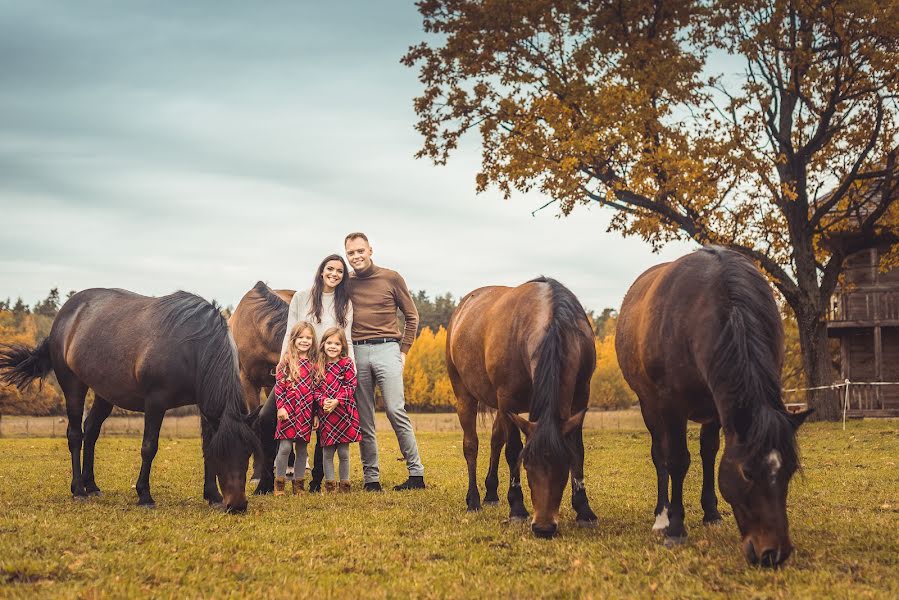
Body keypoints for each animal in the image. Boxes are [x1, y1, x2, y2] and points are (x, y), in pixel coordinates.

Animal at [0, 290, 260, 510]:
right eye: (223, 453)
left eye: (248, 452)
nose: (237, 505)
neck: (192, 347)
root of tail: (64, 316)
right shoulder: (155, 402)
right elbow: (149, 447)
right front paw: (144, 495)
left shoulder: (203, 405)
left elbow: (205, 446)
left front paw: (212, 495)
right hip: (73, 386)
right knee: (75, 435)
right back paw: (79, 490)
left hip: (104, 394)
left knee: (91, 431)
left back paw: (91, 485)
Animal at [448, 278, 596, 540]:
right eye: (527, 466)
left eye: (564, 467)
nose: (544, 528)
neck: (549, 317)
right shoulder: (507, 400)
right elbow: (513, 450)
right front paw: (517, 507)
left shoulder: (580, 397)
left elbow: (578, 450)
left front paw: (584, 509)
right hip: (465, 396)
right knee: (471, 445)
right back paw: (473, 500)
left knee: (496, 440)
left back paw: (491, 493)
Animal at [616, 247, 812, 568]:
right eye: (747, 472)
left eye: (791, 470)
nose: (773, 554)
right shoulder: (671, 404)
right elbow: (677, 461)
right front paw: (676, 527)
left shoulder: (721, 406)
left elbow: (709, 453)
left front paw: (711, 513)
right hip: (649, 406)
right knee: (660, 455)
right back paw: (662, 516)